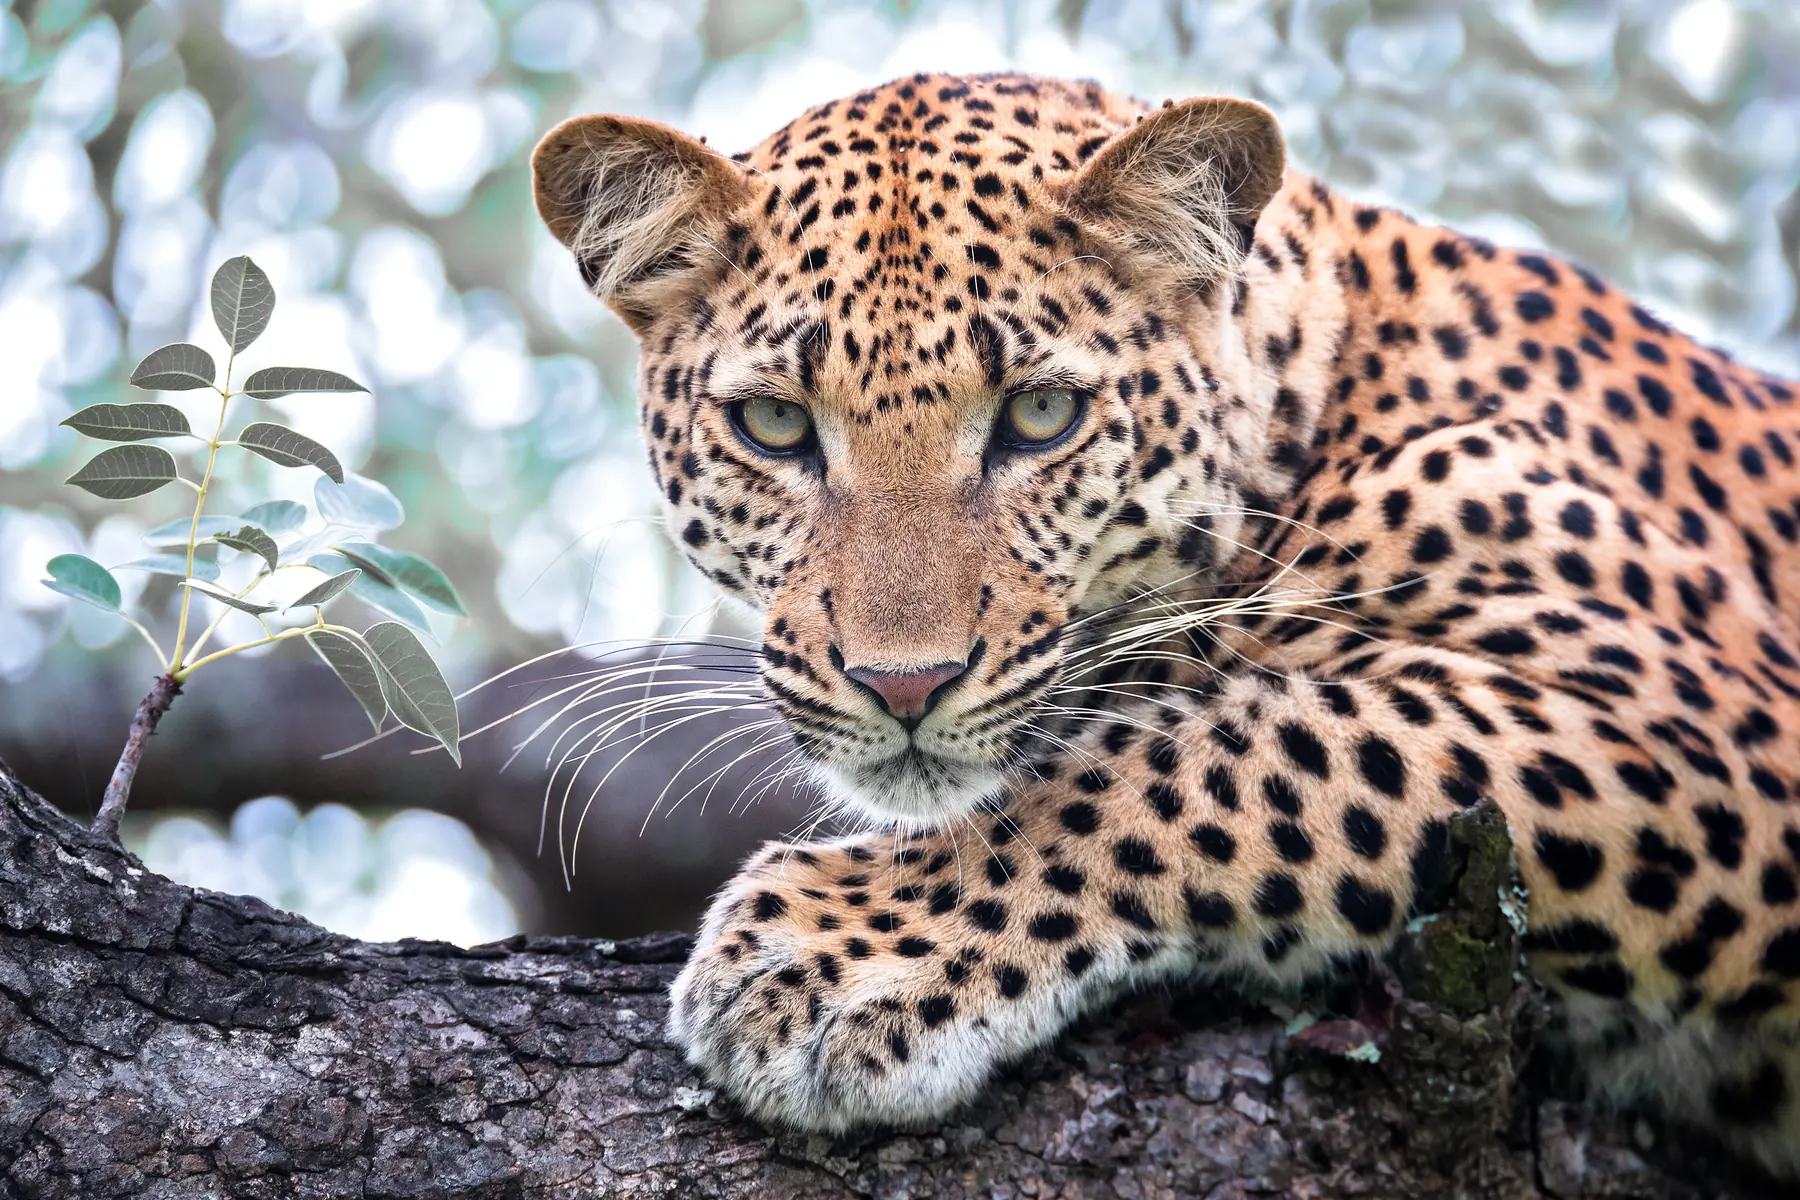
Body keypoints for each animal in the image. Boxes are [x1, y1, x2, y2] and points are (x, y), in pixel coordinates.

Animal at [531, 72, 1800, 1176]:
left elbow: (1233, 758)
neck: (1318, 404)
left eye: (1041, 416)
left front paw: (840, 950)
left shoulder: (1705, 730)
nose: (904, 686)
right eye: (776, 426)